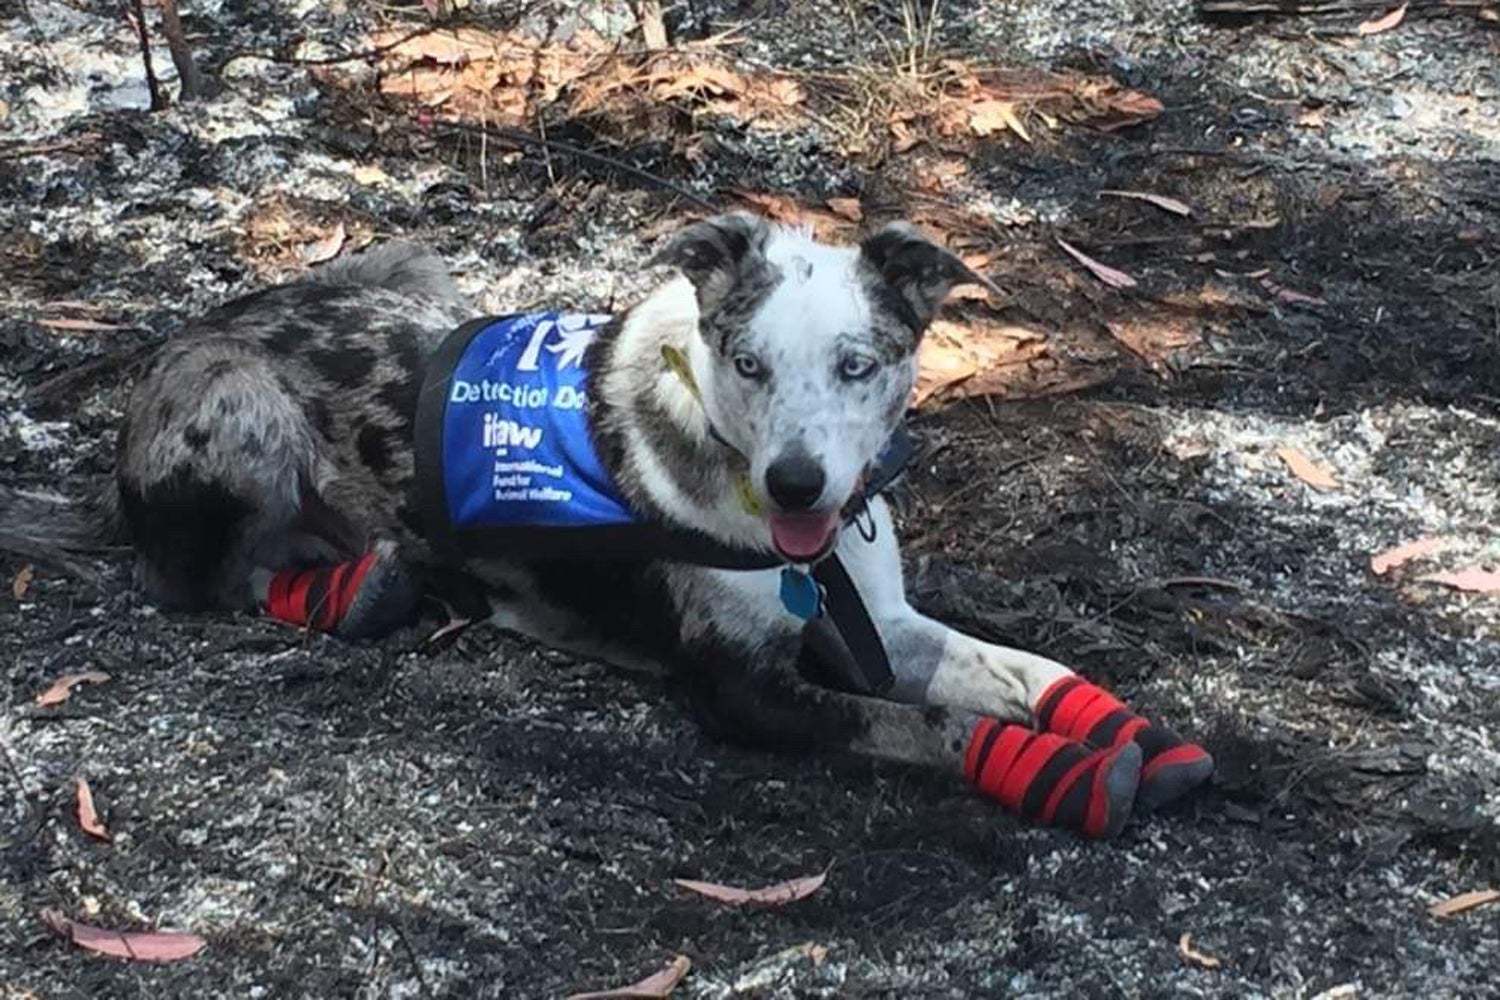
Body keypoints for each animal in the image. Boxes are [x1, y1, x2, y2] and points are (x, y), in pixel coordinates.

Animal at [0, 217, 1212, 839]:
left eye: (857, 364)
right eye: (748, 362)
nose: (795, 487)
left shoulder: (883, 620)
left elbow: (1017, 669)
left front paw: (1129, 734)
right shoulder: (746, 693)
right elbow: (932, 727)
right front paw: (1063, 770)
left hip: (416, 267)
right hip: (241, 406)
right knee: (200, 576)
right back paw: (365, 589)